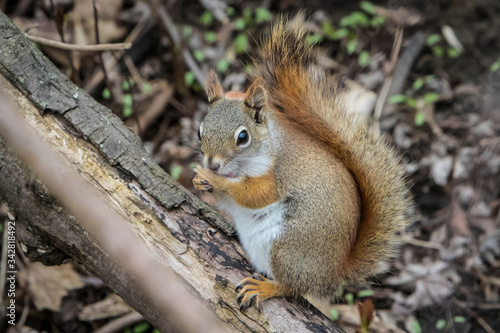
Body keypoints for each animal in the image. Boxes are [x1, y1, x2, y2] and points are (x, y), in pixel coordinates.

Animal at [191, 13, 410, 308]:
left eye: (243, 137)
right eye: (200, 131)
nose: (212, 164)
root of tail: (333, 275)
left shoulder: (277, 174)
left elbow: (254, 195)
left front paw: (214, 180)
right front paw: (200, 180)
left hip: (288, 248)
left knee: (293, 287)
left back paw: (265, 288)